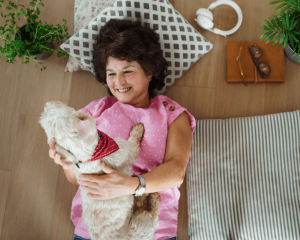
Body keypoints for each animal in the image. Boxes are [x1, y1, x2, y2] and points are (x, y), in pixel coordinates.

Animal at [38, 101, 161, 240]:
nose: (48, 103)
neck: (91, 154)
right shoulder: (128, 150)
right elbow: (134, 142)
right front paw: (137, 130)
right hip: (142, 223)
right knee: (152, 215)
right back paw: (151, 197)